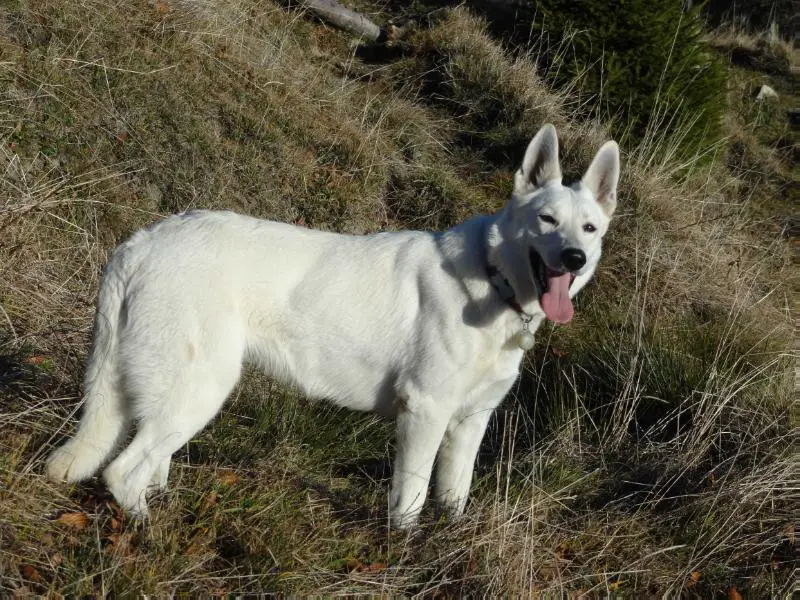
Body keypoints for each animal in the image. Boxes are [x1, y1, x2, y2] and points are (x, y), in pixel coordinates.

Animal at [45, 124, 620, 528]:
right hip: (198, 390)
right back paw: (156, 531)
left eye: (589, 228)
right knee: (122, 473)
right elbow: (410, 503)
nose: (573, 257)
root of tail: (142, 242)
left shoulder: (470, 423)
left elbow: (453, 498)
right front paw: (403, 555)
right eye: (547, 220)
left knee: (144, 467)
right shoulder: (425, 413)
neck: (492, 278)